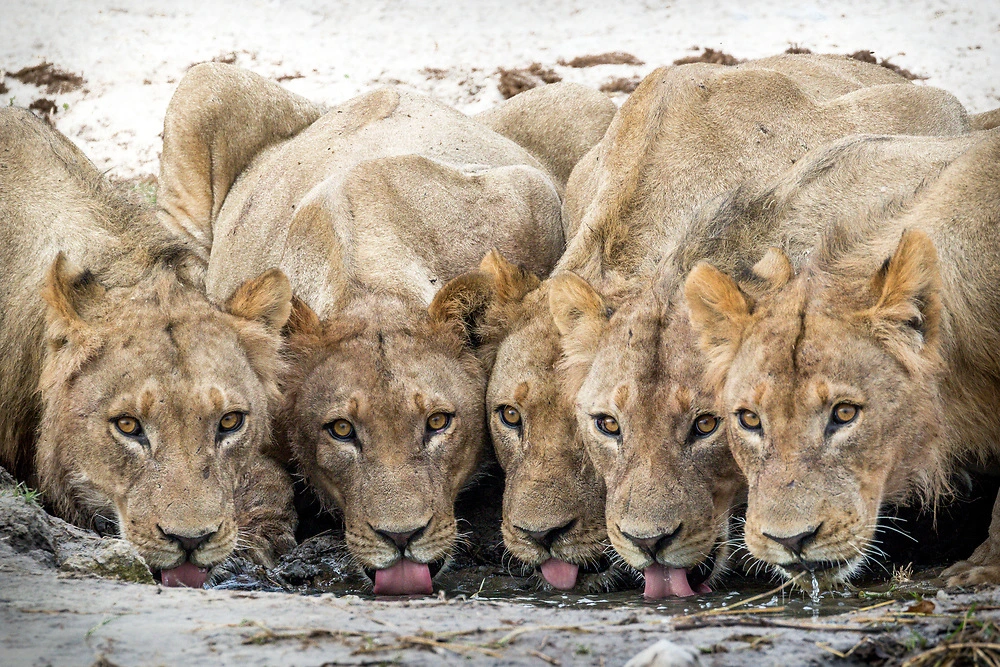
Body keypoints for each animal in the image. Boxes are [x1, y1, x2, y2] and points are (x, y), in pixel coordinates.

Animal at [157, 62, 612, 596]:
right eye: (341, 430)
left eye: (438, 422)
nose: (401, 537)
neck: (370, 284)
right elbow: (253, 469)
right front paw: (253, 543)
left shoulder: (526, 193)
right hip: (204, 90)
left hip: (587, 104)